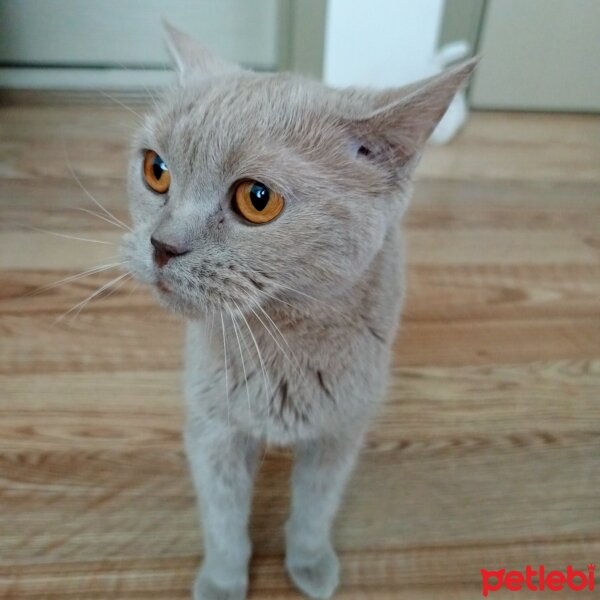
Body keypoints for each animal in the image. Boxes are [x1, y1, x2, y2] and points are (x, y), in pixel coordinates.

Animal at [120, 24, 478, 600]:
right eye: (156, 170)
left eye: (257, 198)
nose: (162, 245)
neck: (281, 343)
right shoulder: (212, 427)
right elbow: (223, 519)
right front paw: (222, 583)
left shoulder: (340, 431)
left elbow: (314, 508)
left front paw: (310, 565)